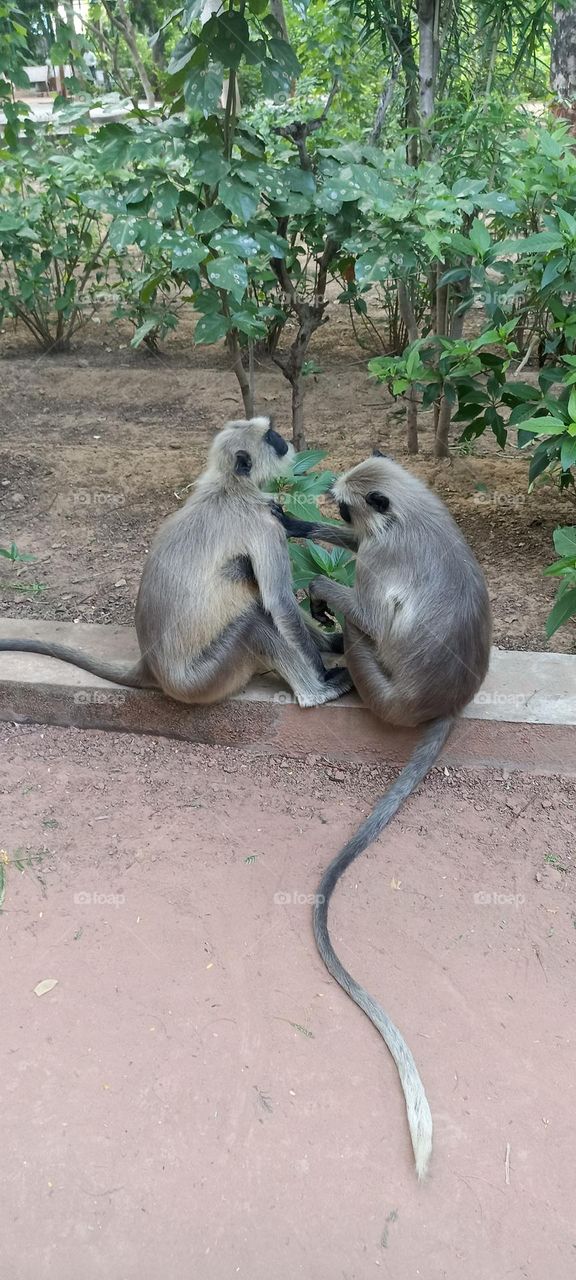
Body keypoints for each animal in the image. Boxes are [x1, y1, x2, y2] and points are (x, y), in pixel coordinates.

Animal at [0, 417, 353, 709]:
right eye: (269, 436)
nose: (283, 440)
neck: (230, 487)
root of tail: (150, 666)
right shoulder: (264, 523)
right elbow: (279, 603)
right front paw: (321, 671)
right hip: (206, 677)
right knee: (254, 619)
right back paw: (316, 693)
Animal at [274, 452, 491, 1178]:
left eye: (347, 502)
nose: (327, 503)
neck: (410, 517)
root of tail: (452, 701)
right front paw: (292, 524)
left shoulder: (383, 557)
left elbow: (367, 601)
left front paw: (320, 586)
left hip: (382, 691)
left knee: (364, 633)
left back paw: (336, 648)